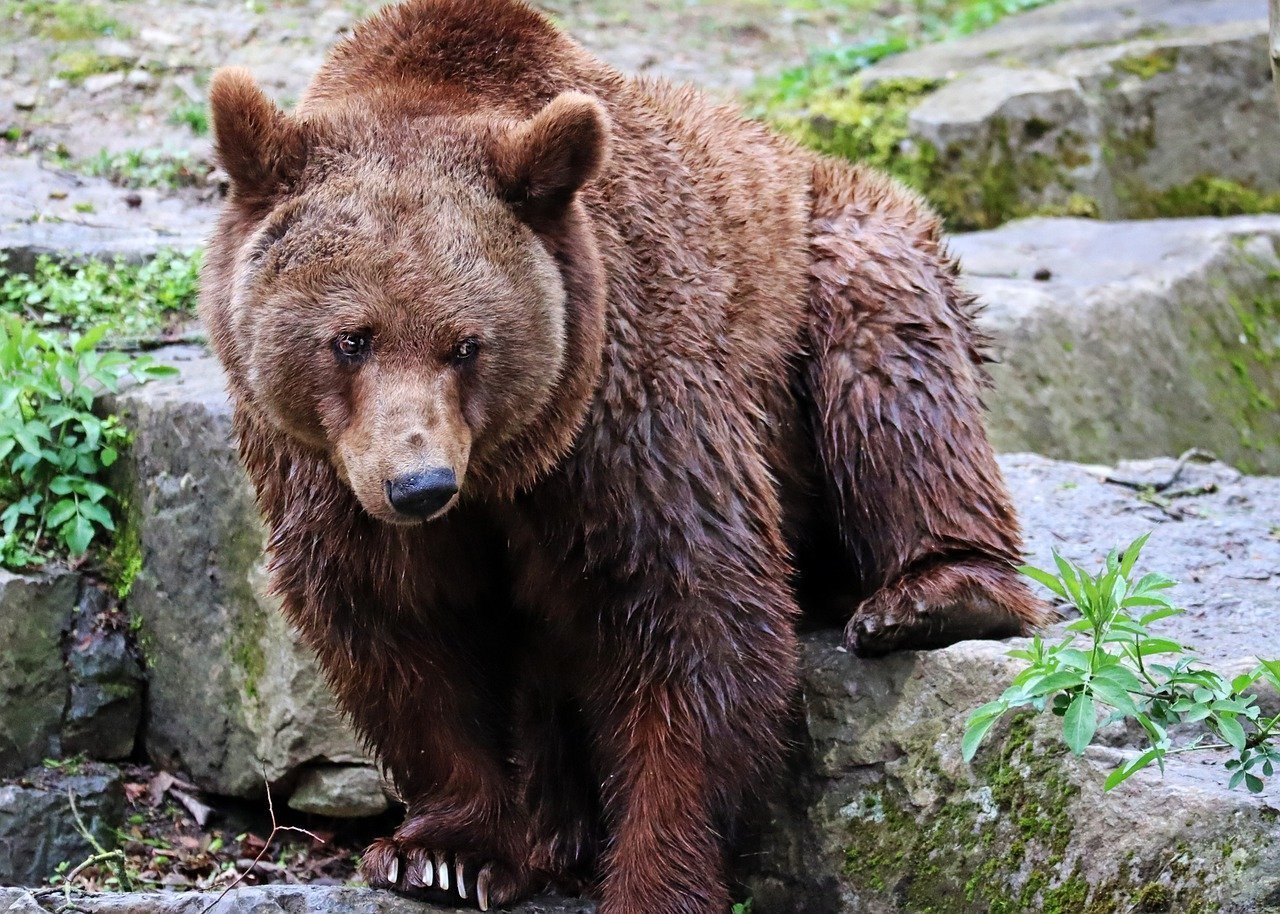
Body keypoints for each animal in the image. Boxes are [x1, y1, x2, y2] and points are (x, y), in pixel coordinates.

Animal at [197, 1, 1039, 911]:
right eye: (350, 338)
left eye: (466, 344)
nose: (418, 484)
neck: (502, 470)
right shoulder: (326, 468)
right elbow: (401, 626)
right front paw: (448, 854)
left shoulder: (624, 407)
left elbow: (690, 615)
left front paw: (653, 876)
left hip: (833, 267)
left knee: (891, 371)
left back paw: (934, 596)